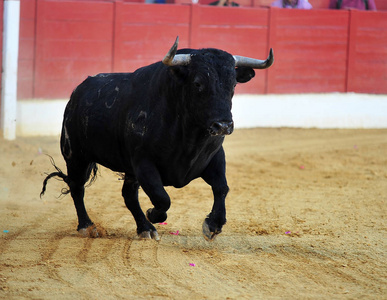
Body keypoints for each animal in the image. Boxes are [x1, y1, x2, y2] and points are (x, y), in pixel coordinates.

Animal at [41, 37, 274, 241]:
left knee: (127, 195)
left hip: (123, 168)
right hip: (76, 155)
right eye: (198, 83)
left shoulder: (215, 157)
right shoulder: (143, 163)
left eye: (233, 85)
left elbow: (221, 188)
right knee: (77, 187)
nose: (223, 125)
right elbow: (162, 197)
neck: (189, 137)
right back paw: (88, 227)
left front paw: (213, 225)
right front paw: (153, 213)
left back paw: (145, 229)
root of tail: (78, 92)